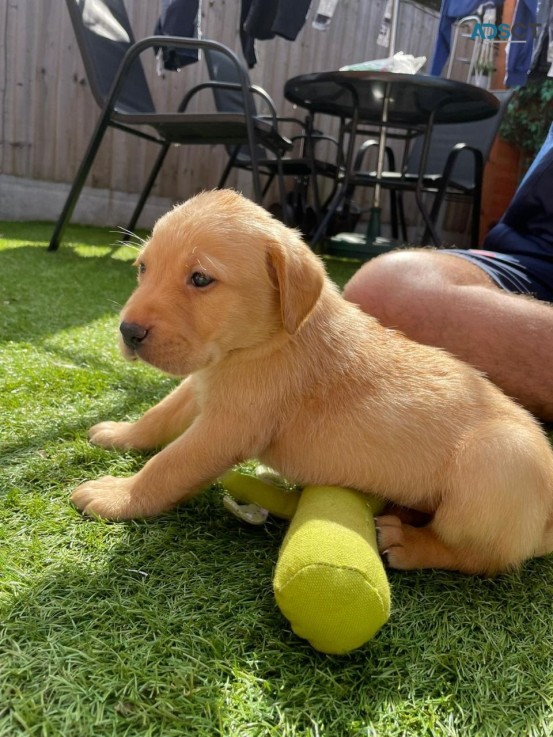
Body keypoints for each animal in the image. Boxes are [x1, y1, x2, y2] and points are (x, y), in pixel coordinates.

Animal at [72, 188, 552, 576]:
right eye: (142, 268)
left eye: (201, 279)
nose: (128, 332)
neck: (264, 342)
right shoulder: (202, 383)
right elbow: (159, 415)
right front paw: (122, 434)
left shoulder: (227, 427)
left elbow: (168, 464)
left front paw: (119, 495)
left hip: (495, 458)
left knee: (484, 558)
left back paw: (410, 542)